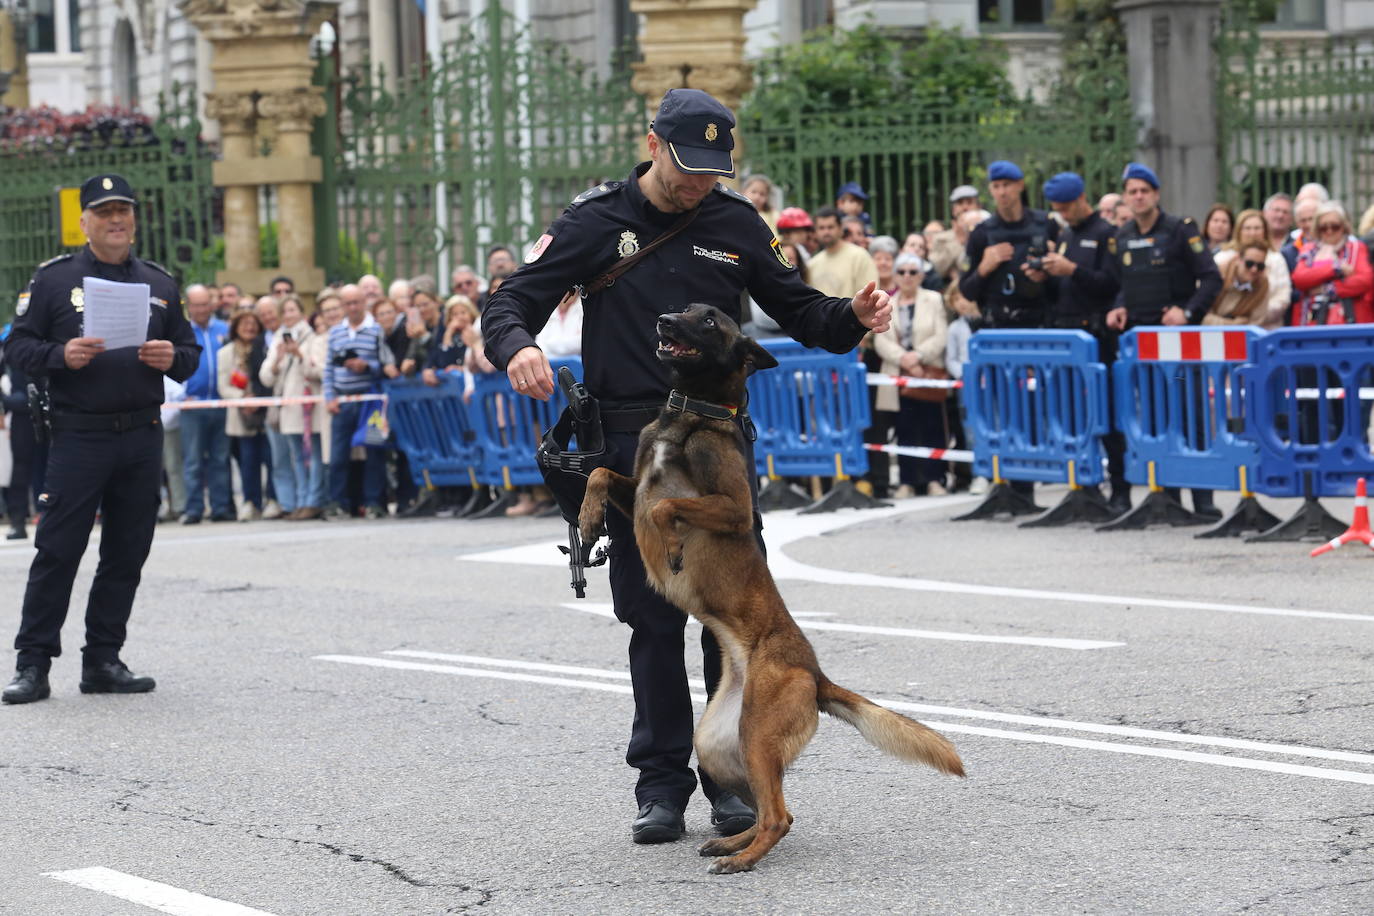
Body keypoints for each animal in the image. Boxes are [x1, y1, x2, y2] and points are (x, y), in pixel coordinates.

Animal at [579, 302, 967, 873]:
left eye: (710, 320)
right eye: (688, 311)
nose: (665, 319)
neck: (693, 411)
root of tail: (816, 674)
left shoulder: (732, 508)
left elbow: (666, 505)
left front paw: (671, 546)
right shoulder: (632, 487)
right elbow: (602, 475)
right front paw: (586, 521)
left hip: (757, 734)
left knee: (780, 816)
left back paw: (740, 859)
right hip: (719, 742)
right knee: (769, 809)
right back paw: (731, 843)